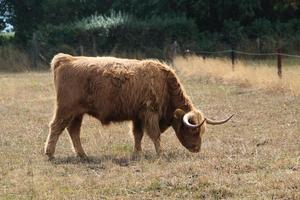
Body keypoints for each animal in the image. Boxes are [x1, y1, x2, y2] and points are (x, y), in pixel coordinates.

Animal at [44, 53, 233, 159]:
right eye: (193, 130)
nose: (197, 149)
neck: (165, 84)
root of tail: (66, 59)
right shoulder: (150, 113)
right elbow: (155, 135)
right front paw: (160, 153)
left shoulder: (138, 116)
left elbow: (138, 135)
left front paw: (137, 153)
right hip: (66, 109)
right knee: (56, 127)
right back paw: (50, 153)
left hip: (77, 113)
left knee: (73, 130)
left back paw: (82, 154)